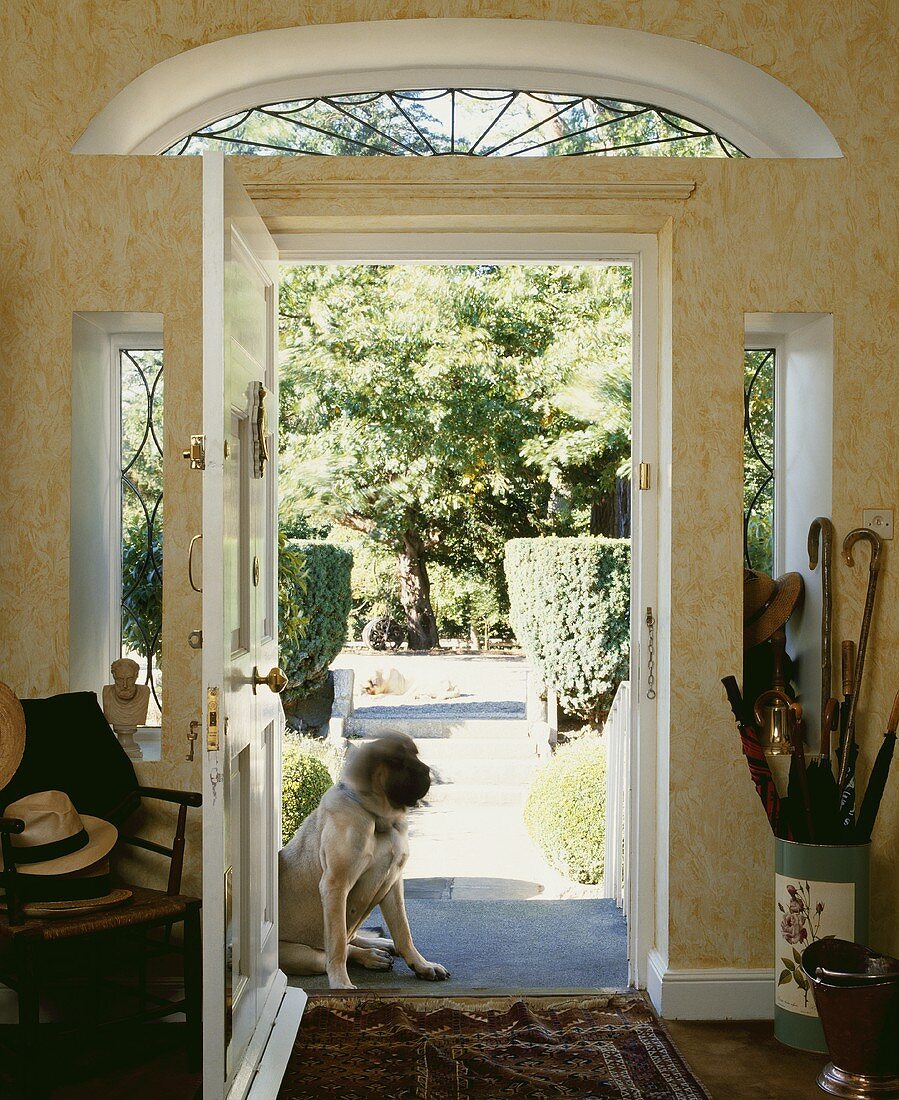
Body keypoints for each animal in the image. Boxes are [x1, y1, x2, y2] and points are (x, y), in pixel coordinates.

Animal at [277, 734, 448, 985]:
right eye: (396, 761)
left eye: (415, 753)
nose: (427, 771)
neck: (379, 818)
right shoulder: (336, 886)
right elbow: (338, 944)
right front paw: (341, 983)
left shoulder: (393, 883)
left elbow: (403, 930)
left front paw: (422, 965)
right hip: (301, 955)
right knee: (336, 949)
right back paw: (372, 956)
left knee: (354, 937)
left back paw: (380, 944)